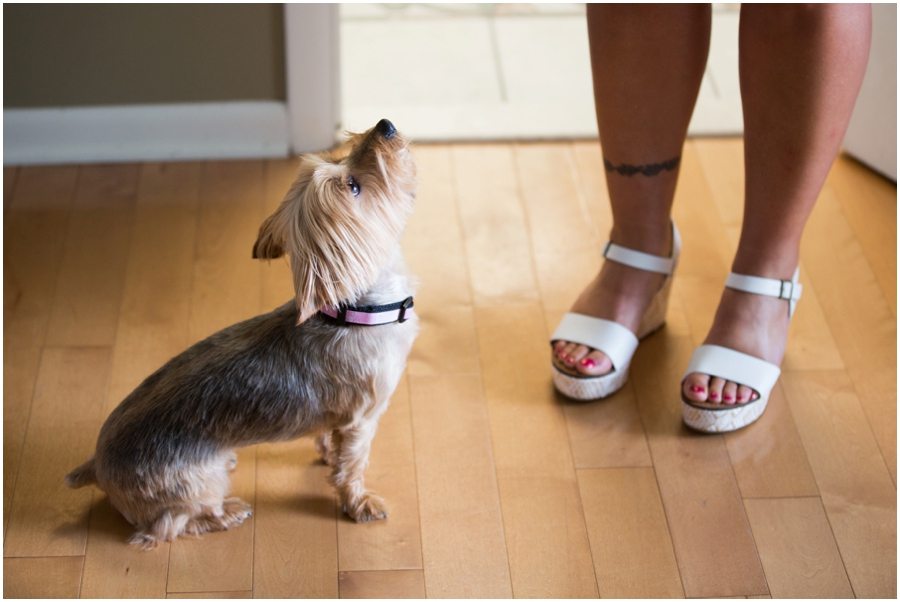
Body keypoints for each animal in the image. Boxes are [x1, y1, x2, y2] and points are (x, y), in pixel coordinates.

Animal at [65, 118, 420, 548]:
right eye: (352, 184)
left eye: (341, 159)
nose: (385, 125)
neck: (355, 312)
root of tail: (98, 467)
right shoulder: (361, 419)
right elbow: (351, 467)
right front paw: (360, 503)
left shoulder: (337, 419)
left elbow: (328, 440)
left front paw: (325, 453)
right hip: (195, 484)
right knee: (168, 526)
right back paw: (227, 513)